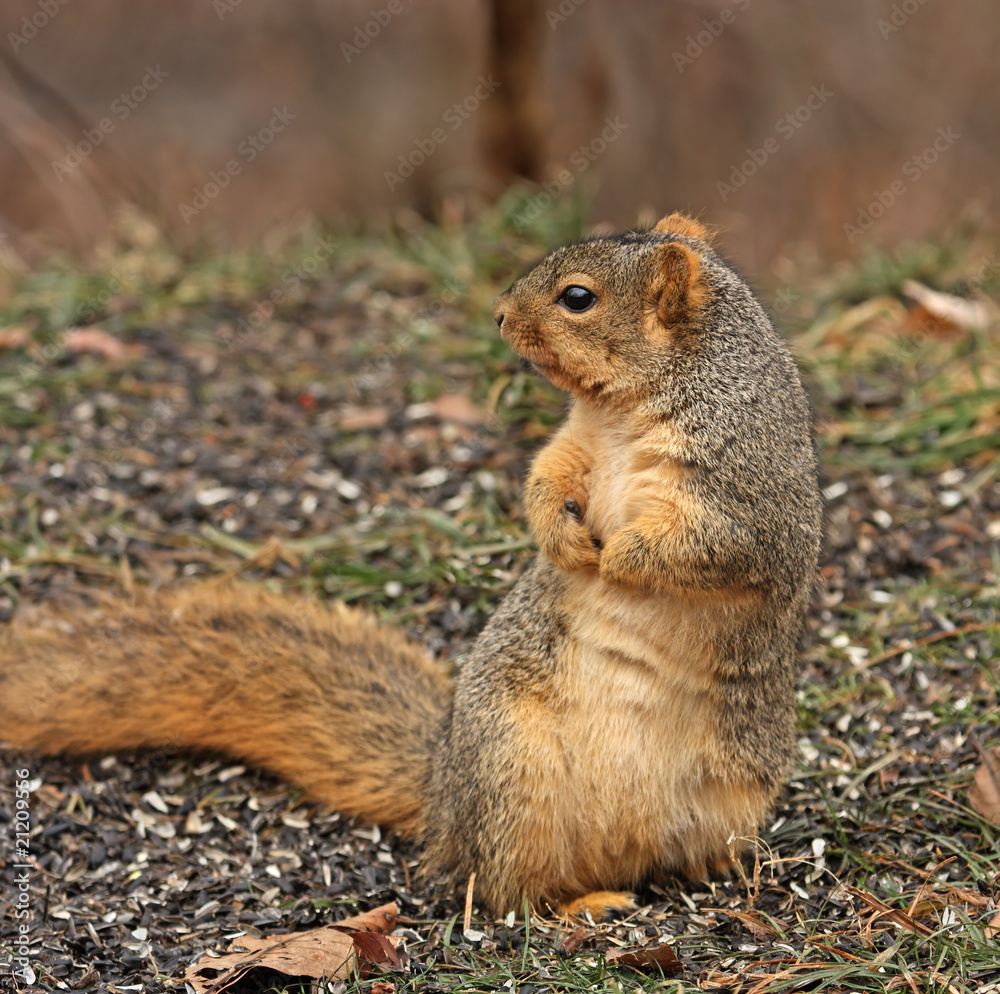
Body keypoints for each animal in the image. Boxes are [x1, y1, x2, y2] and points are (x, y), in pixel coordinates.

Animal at [0, 212, 821, 920]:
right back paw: (582, 906)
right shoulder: (576, 445)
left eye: (578, 298)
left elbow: (714, 546)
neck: (628, 408)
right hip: (513, 772)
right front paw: (564, 542)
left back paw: (704, 877)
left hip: (729, 792)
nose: (499, 315)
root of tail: (444, 787)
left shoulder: (748, 492)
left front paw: (617, 554)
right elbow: (546, 478)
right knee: (505, 888)